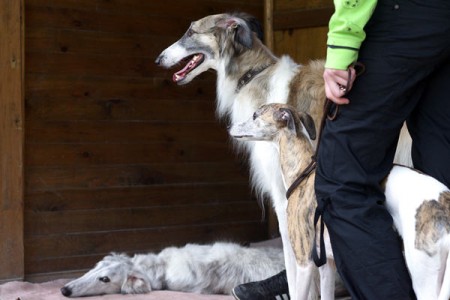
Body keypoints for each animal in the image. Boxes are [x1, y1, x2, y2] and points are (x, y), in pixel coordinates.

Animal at [230, 103, 448, 300]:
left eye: (255, 115)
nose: (229, 127)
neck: (303, 171)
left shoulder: (304, 261)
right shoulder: (327, 263)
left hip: (423, 277)